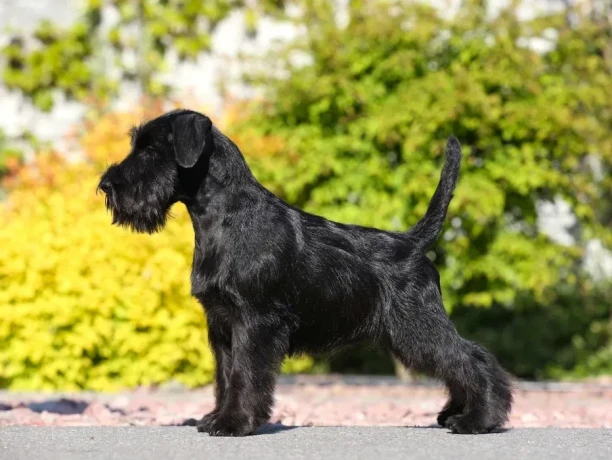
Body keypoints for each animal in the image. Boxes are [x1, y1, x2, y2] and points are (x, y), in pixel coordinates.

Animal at [99, 108, 512, 434]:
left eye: (150, 150)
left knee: (472, 360)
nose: (106, 185)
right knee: (457, 365)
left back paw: (479, 420)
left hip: (417, 326)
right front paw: (217, 417)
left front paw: (233, 424)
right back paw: (455, 414)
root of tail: (412, 243)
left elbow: (245, 375)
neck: (224, 219)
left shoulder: (255, 322)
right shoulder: (221, 325)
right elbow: (225, 376)